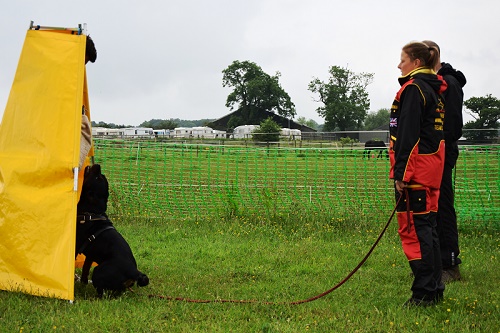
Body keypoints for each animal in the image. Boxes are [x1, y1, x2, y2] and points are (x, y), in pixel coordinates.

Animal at [74, 163, 148, 296]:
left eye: (98, 177)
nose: (98, 165)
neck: (92, 212)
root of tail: (134, 271)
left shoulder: (76, 246)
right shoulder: (90, 255)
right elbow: (85, 270)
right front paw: (82, 283)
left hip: (99, 270)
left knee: (103, 293)